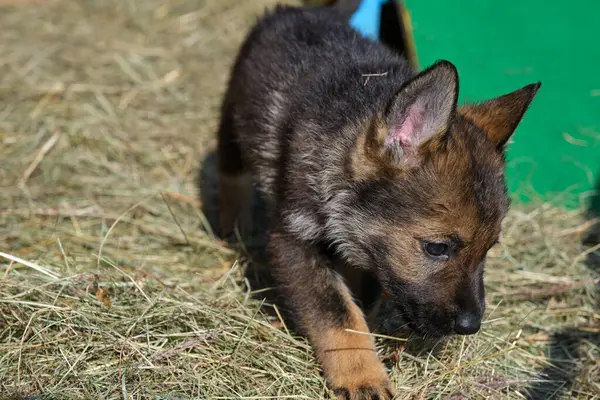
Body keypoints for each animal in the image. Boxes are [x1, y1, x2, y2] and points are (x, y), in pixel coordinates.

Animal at [214, 3, 540, 400]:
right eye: (437, 248)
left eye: (489, 249)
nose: (470, 325)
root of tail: (304, 9)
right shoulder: (293, 240)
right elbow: (338, 314)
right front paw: (361, 375)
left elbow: (360, 297)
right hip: (233, 118)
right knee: (230, 171)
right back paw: (229, 224)